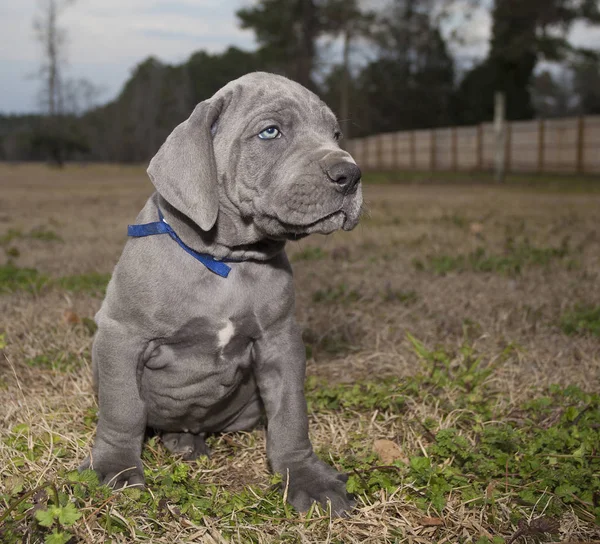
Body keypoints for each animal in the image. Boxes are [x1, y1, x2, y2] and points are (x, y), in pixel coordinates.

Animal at [82, 71, 364, 516]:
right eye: (270, 132)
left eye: (335, 134)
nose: (350, 175)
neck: (227, 262)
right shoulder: (120, 335)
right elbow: (122, 408)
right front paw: (114, 468)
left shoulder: (280, 342)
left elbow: (291, 416)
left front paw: (306, 477)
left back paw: (186, 440)